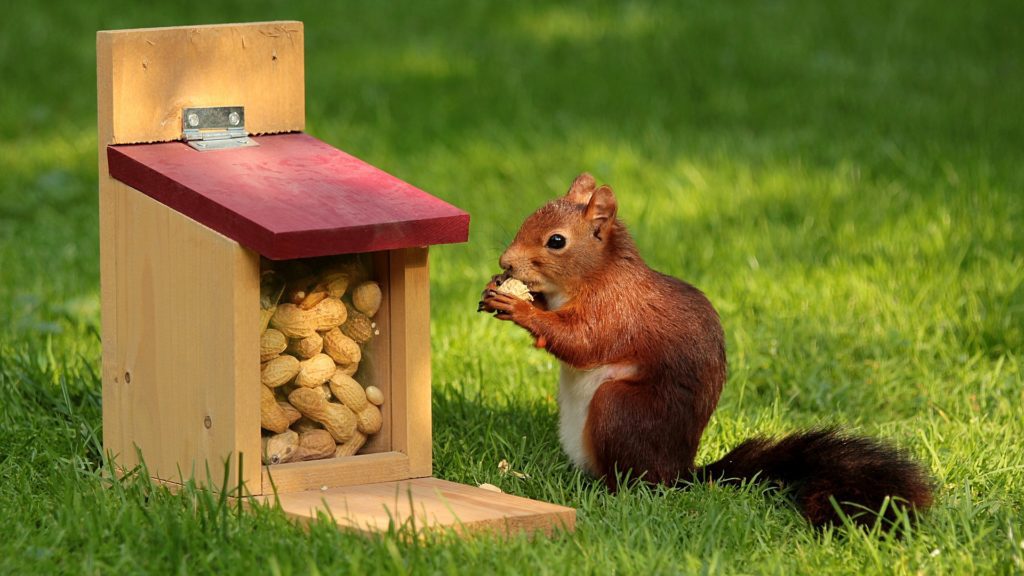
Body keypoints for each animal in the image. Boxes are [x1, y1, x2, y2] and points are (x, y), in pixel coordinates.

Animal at [481, 172, 937, 528]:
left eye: (556, 241)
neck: (595, 275)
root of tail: (681, 473)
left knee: (636, 482)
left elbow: (581, 341)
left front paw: (519, 307)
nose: (505, 262)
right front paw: (500, 290)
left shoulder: (617, 311)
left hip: (620, 409)